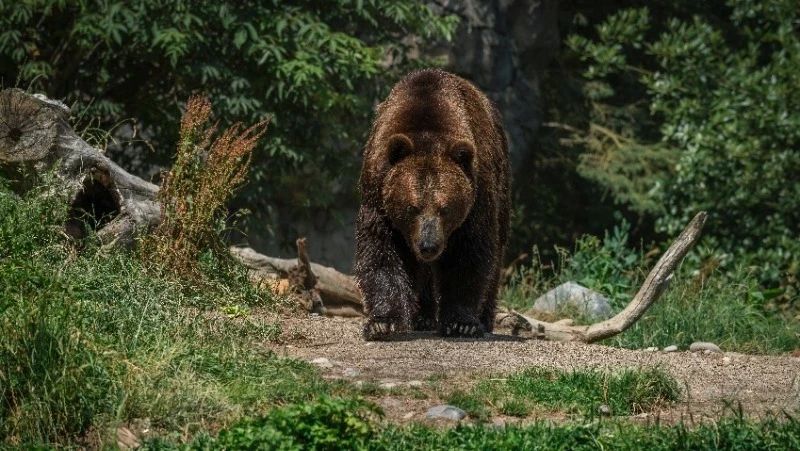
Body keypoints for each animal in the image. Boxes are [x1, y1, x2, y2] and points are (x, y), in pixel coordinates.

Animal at [354, 69, 510, 340]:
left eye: (445, 208)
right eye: (412, 207)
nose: (429, 245)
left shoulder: (477, 193)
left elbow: (469, 252)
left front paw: (462, 323)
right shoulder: (378, 190)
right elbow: (380, 249)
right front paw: (383, 322)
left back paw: (483, 319)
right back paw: (423, 317)